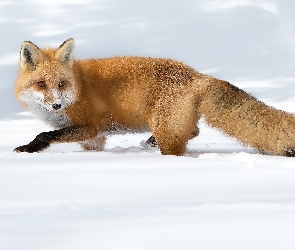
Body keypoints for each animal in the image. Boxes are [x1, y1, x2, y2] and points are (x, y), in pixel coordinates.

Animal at [14, 37, 295, 156]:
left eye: (61, 84)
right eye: (41, 84)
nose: (56, 104)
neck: (78, 89)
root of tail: (196, 74)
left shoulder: (90, 127)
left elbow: (46, 134)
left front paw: (30, 148)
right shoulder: (95, 138)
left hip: (165, 132)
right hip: (171, 124)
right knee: (194, 132)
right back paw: (147, 144)